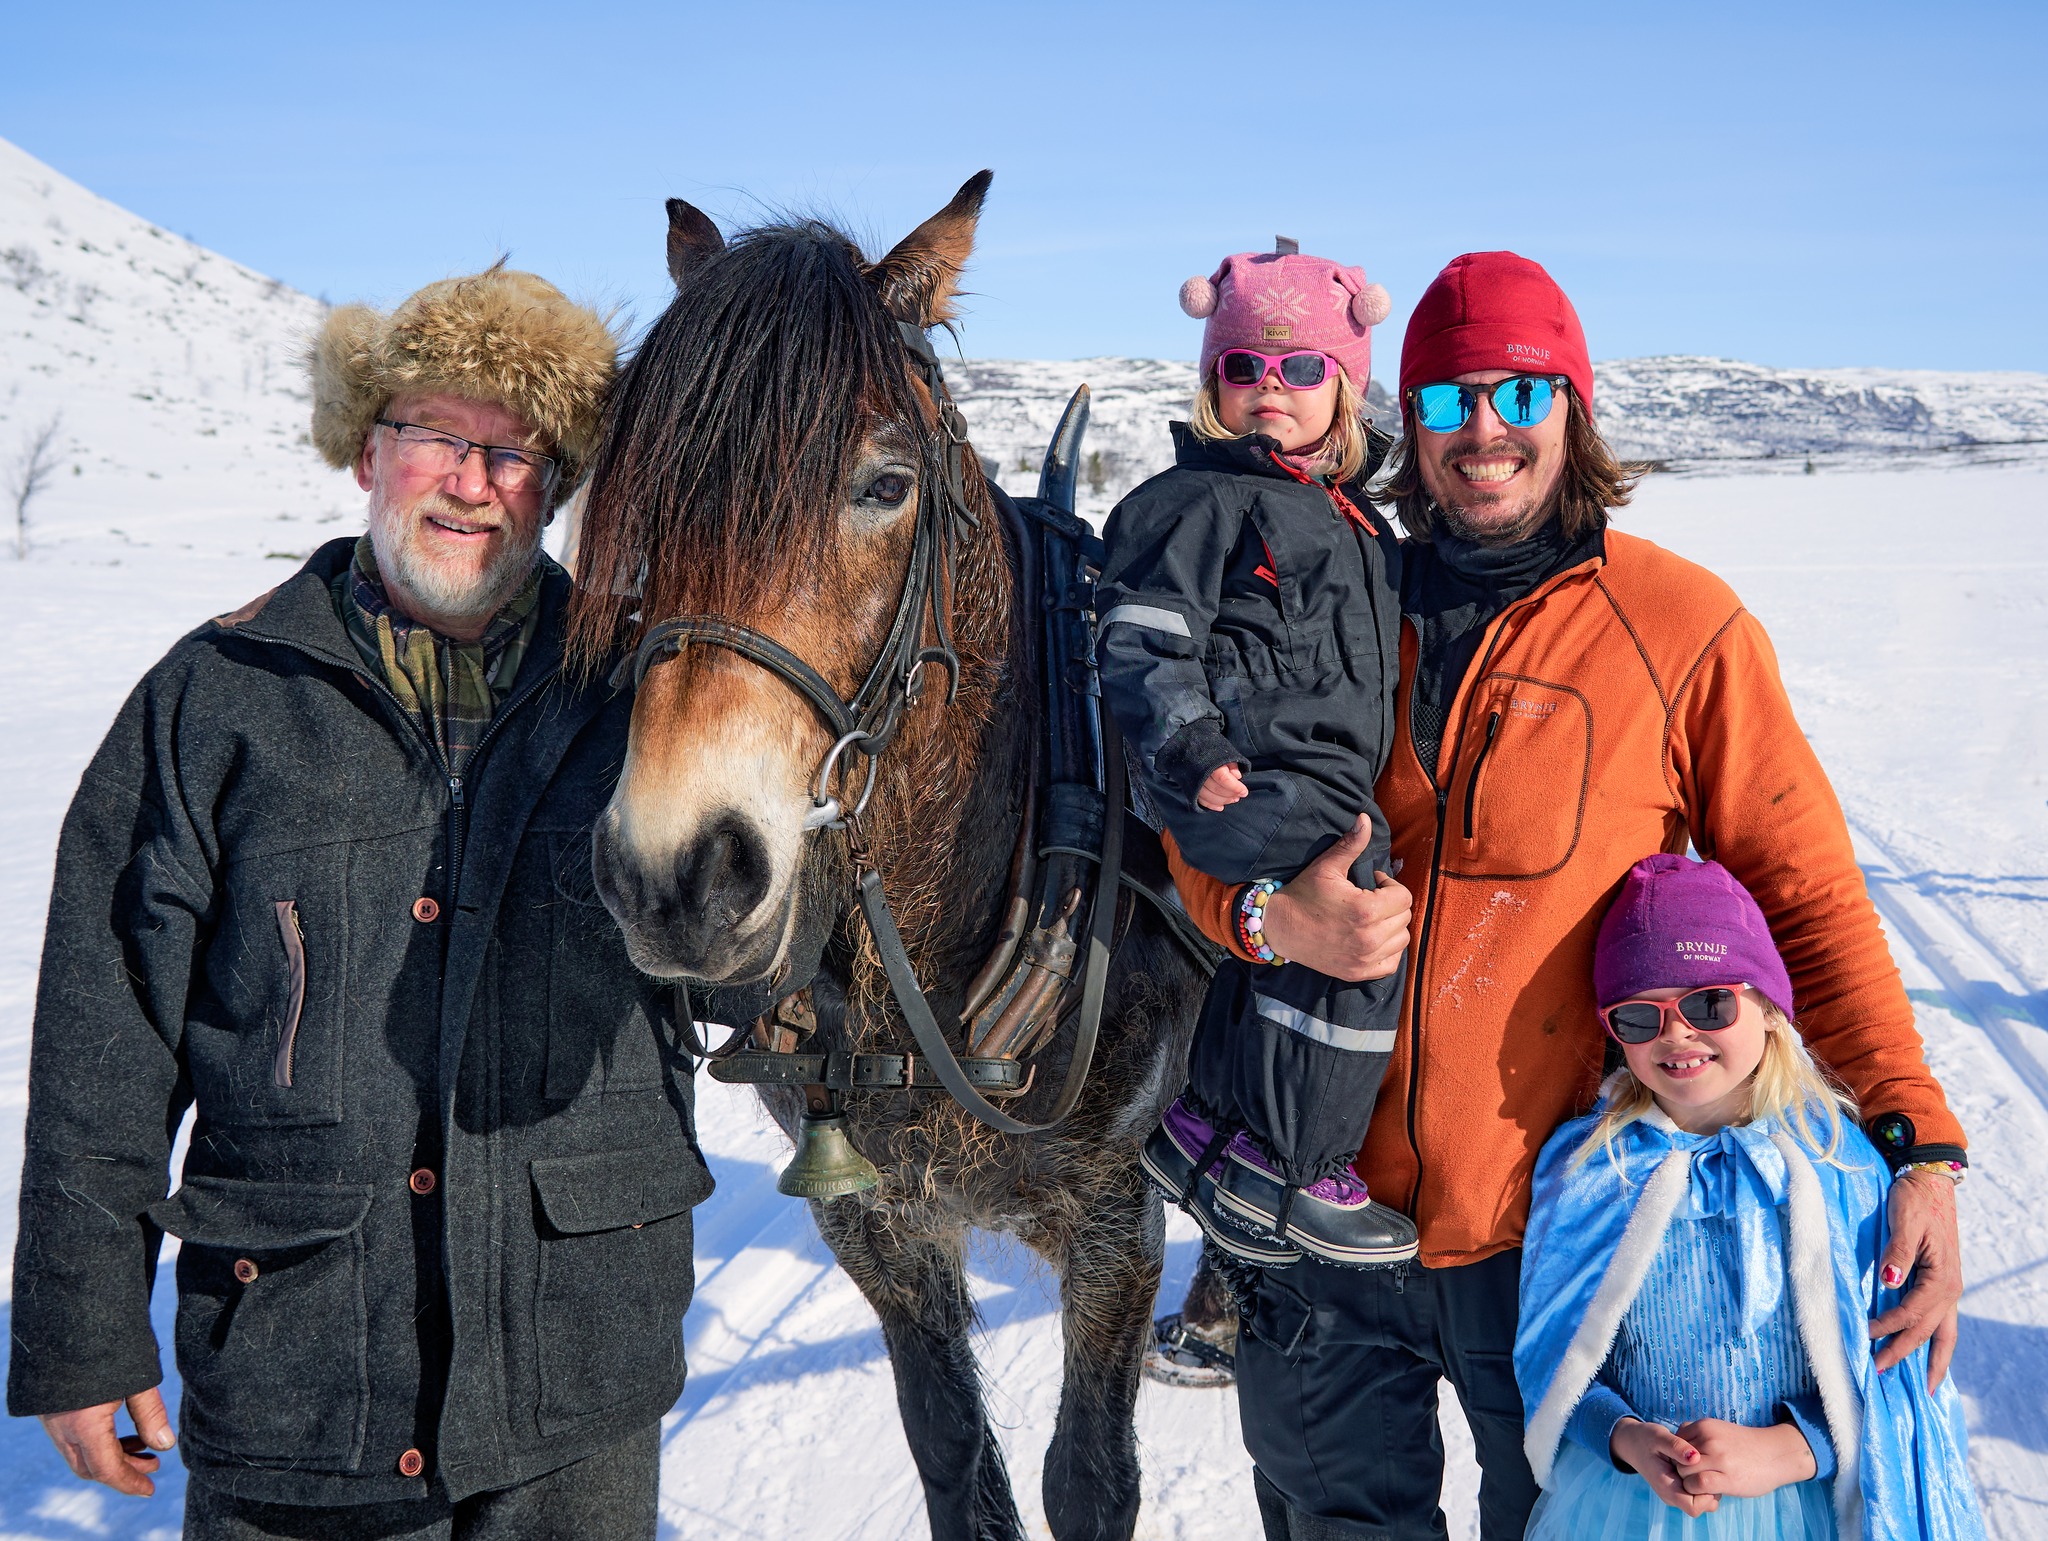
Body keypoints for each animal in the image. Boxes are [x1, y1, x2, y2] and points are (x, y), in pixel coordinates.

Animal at [573, 174, 1212, 1532]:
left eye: (883, 484)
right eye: (637, 494)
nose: (676, 873)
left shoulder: (1114, 1223)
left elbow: (1087, 1478)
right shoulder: (875, 1223)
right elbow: (952, 1457)